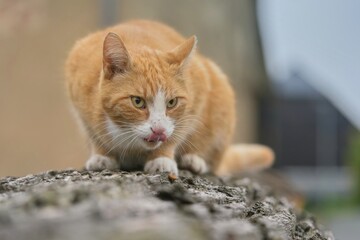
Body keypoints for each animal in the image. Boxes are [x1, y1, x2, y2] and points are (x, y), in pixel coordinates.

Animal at [65, 19, 272, 175]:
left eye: (172, 102)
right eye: (137, 102)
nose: (159, 131)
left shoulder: (199, 89)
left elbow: (177, 133)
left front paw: (162, 158)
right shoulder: (79, 102)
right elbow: (94, 135)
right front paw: (102, 155)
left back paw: (194, 160)